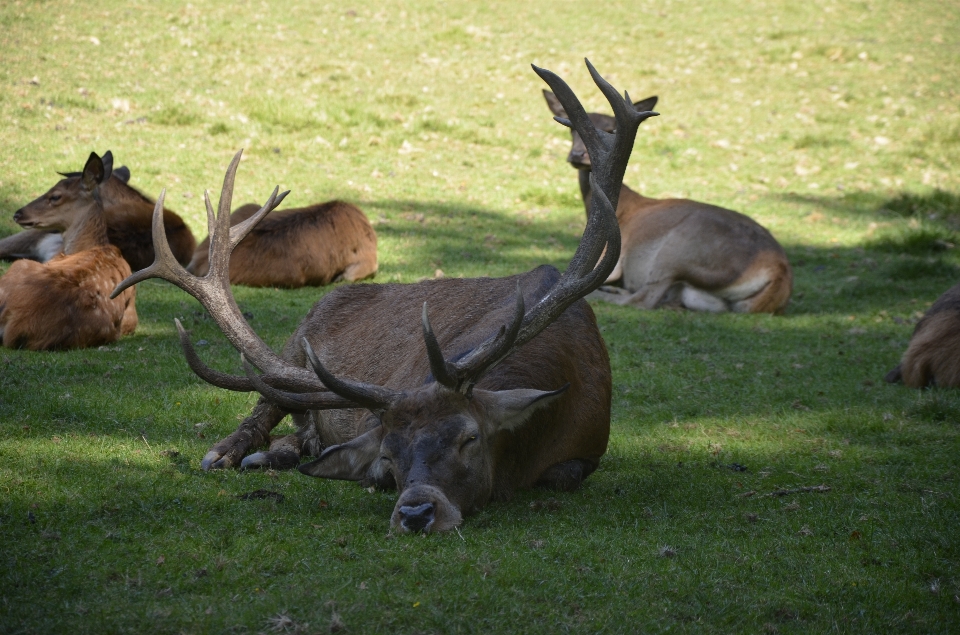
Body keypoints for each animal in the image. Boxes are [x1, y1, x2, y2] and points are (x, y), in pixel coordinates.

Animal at [544, 90, 792, 314]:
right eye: (571, 129)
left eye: (610, 129)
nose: (578, 155)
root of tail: (778, 273)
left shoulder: (614, 261)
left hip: (676, 252)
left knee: (643, 299)